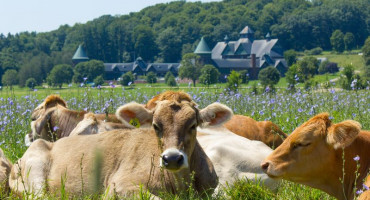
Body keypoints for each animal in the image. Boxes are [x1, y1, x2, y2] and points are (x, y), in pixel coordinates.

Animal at [8, 97, 233, 198]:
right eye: (155, 126)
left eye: (193, 125)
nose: (171, 158)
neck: (179, 184)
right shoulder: (119, 185)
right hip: (35, 171)